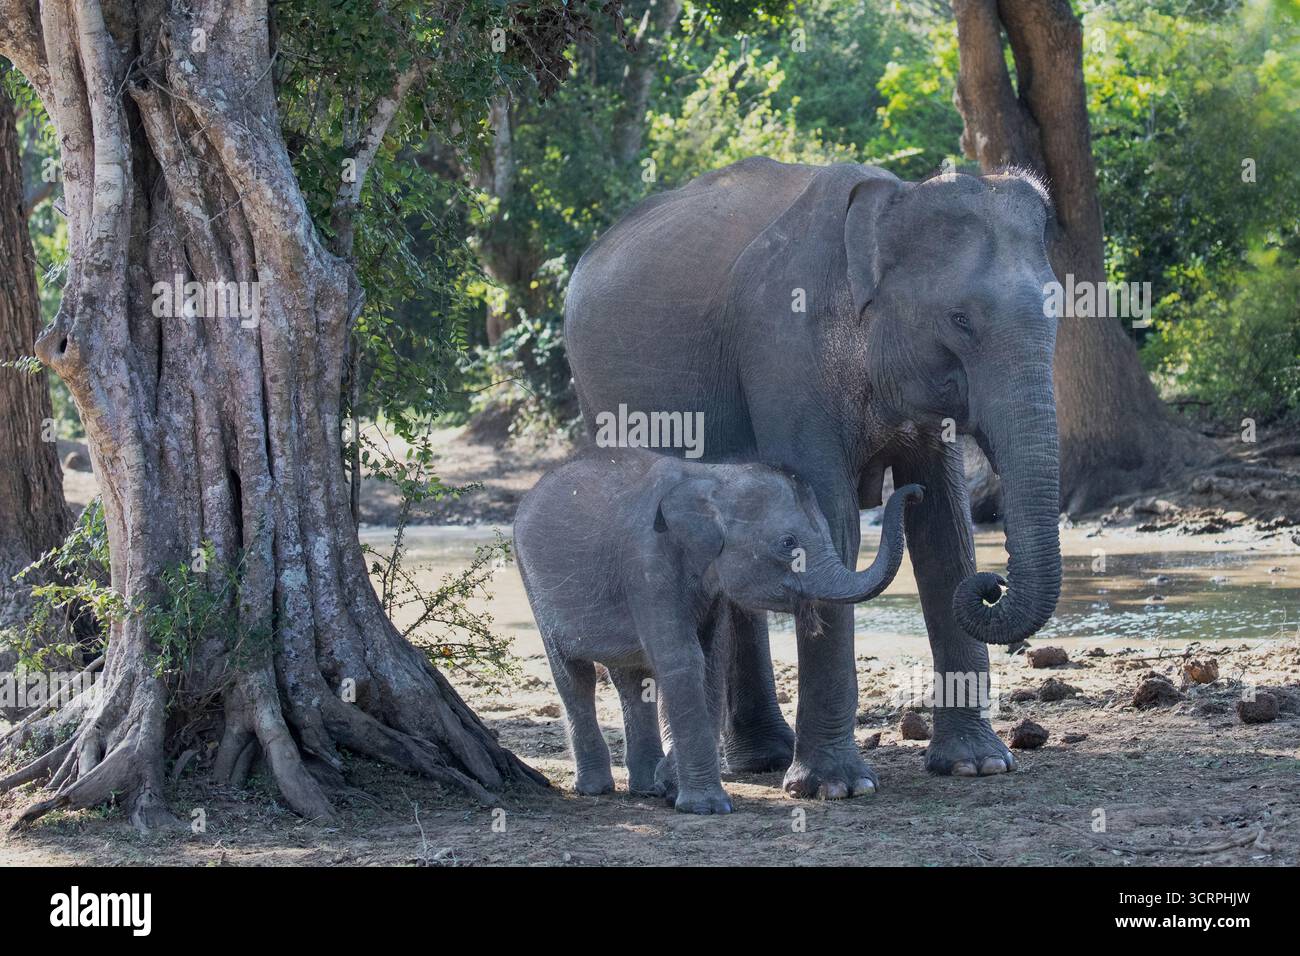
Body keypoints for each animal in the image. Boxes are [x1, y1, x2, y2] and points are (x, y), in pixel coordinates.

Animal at [514, 448, 923, 814]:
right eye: (788, 544)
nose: (915, 491)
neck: (713, 477)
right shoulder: (646, 565)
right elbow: (683, 659)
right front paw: (707, 807)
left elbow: (711, 660)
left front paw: (670, 787)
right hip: (534, 585)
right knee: (574, 676)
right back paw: (595, 789)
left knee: (631, 677)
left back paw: (645, 788)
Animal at [563, 157, 1062, 798]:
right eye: (959, 320)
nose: (994, 583)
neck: (892, 200)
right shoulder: (786, 351)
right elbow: (831, 523)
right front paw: (834, 788)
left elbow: (945, 532)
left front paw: (977, 765)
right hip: (602, 399)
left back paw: (762, 757)